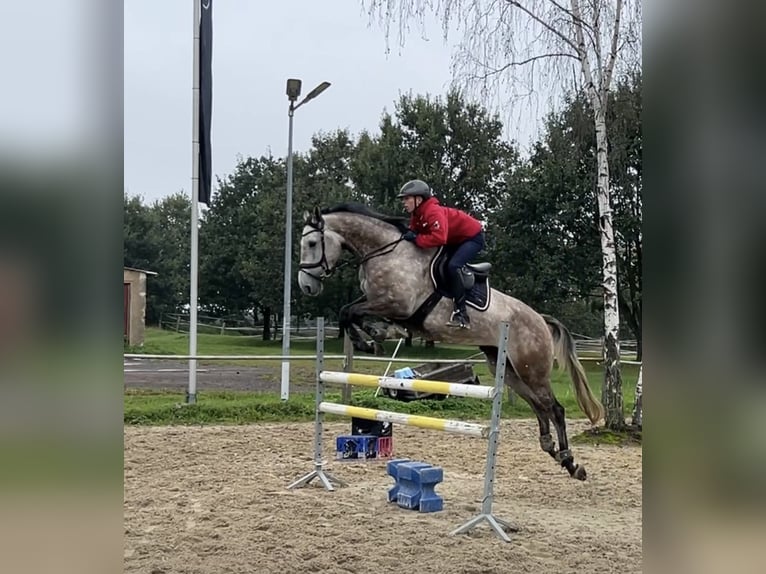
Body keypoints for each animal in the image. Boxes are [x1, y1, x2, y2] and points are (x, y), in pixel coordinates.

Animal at [300, 204, 608, 482]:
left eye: (312, 243)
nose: (306, 287)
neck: (385, 251)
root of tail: (540, 320)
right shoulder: (382, 304)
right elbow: (349, 313)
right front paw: (375, 337)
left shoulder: (396, 304)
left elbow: (350, 312)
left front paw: (373, 340)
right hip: (507, 369)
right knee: (539, 407)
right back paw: (554, 452)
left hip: (532, 369)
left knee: (554, 408)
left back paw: (570, 461)